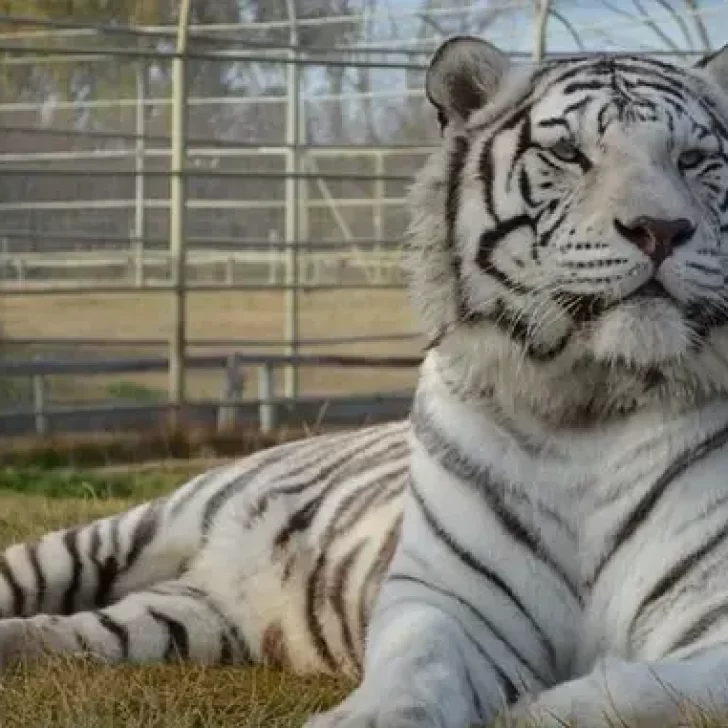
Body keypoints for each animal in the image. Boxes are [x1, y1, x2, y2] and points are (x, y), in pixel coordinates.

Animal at [2, 38, 728, 728]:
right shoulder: (449, 599)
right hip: (133, 528)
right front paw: (374, 716)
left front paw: (534, 712)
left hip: (179, 620)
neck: (587, 402)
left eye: (695, 159)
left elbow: (645, 692)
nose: (660, 229)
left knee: (78, 632)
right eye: (570, 153)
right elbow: (417, 665)